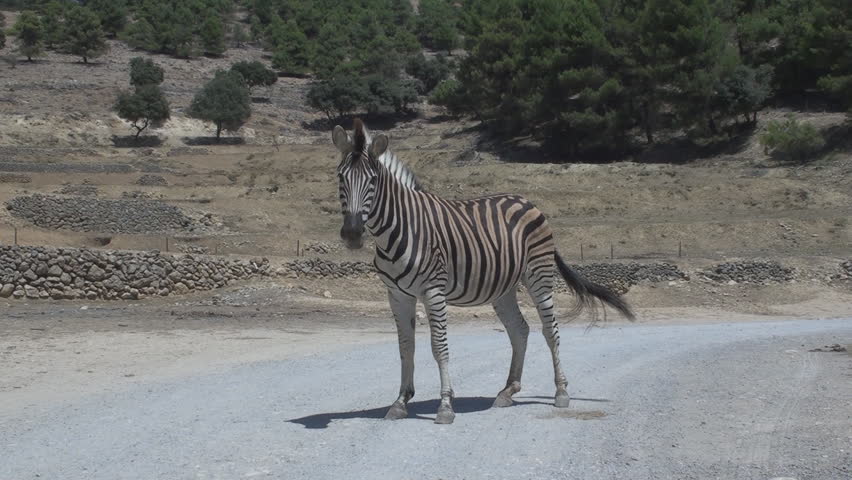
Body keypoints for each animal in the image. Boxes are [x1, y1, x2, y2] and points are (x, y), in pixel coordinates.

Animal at [332, 119, 632, 424]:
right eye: (341, 177)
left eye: (372, 180)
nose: (352, 234)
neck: (400, 228)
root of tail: (527, 201)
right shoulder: (397, 294)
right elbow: (406, 347)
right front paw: (401, 401)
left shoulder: (433, 290)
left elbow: (439, 347)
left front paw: (445, 406)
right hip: (503, 288)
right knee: (520, 329)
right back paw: (508, 391)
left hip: (539, 274)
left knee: (550, 331)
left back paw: (561, 392)